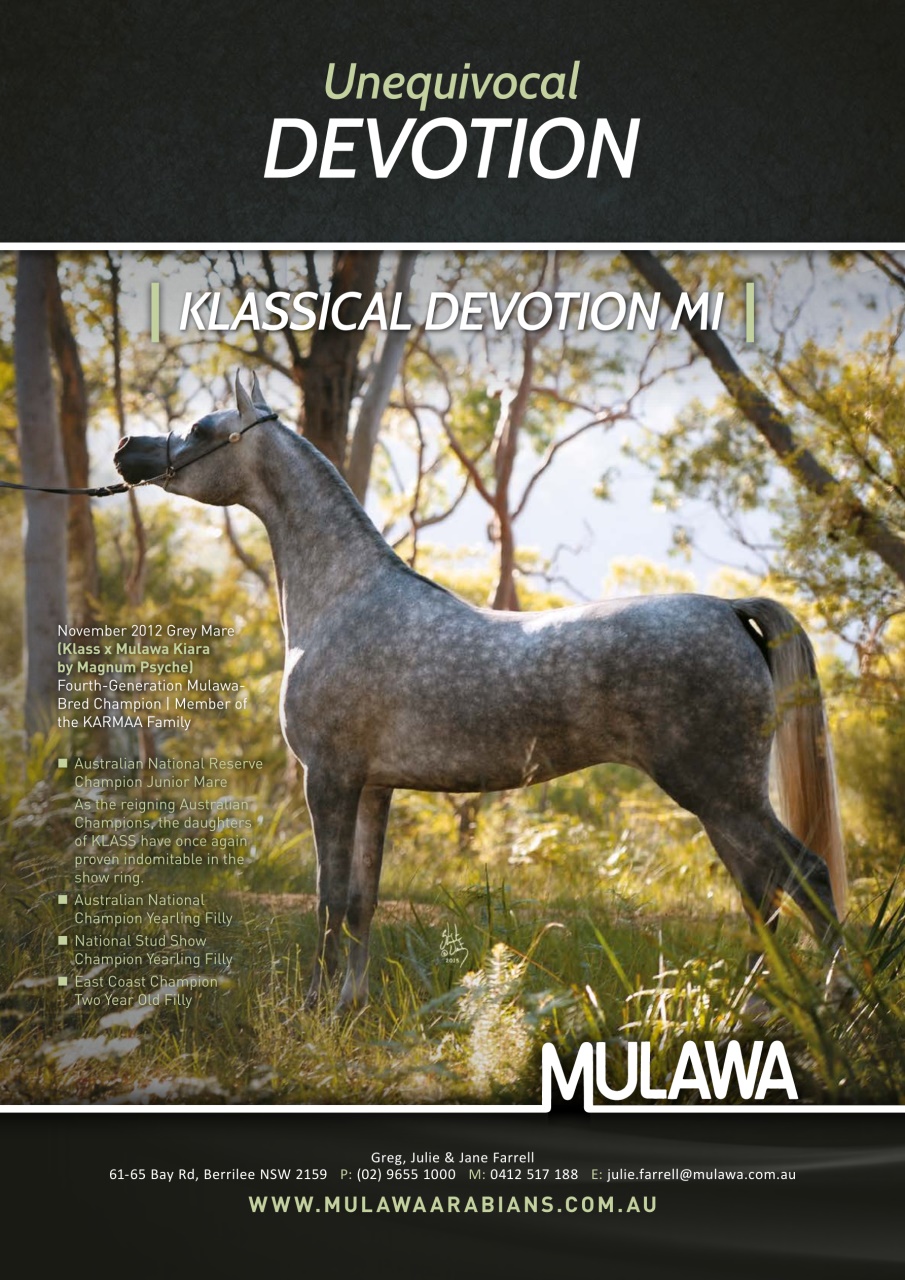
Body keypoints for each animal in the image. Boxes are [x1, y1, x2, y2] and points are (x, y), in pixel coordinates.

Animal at [114, 372, 848, 1012]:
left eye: (202, 428)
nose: (126, 450)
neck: (346, 600)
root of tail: (727, 609)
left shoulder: (327, 779)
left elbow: (327, 899)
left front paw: (313, 1009)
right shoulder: (373, 787)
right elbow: (361, 900)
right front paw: (351, 1006)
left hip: (721, 794)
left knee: (805, 878)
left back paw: (832, 1002)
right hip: (722, 803)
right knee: (761, 895)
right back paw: (751, 1007)